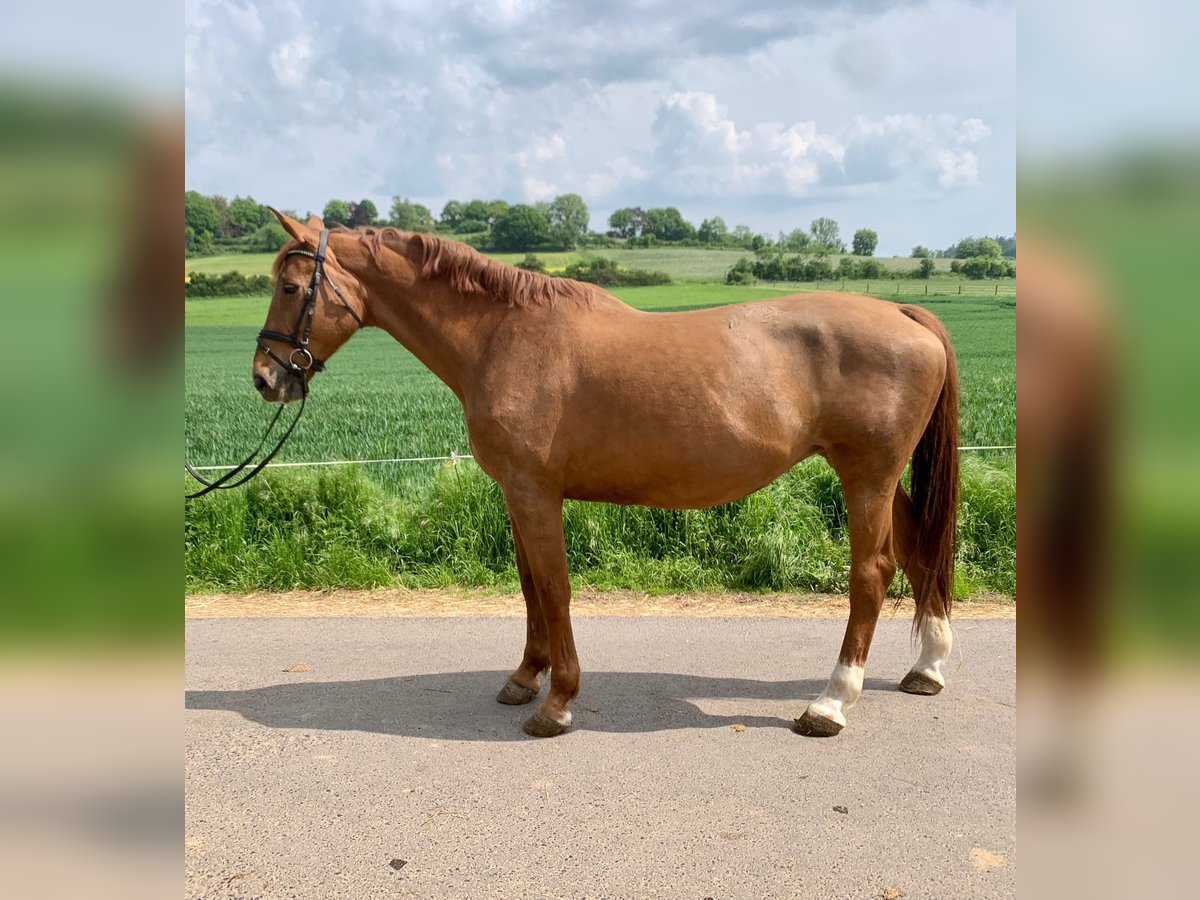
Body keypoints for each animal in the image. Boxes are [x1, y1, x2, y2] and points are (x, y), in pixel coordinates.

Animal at [258, 211, 960, 739]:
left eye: (290, 288)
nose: (267, 378)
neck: (503, 336)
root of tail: (904, 314)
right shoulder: (517, 493)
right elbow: (529, 588)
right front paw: (525, 678)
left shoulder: (535, 493)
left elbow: (555, 589)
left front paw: (557, 701)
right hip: (881, 479)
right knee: (917, 551)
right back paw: (927, 667)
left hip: (865, 477)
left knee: (872, 574)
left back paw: (831, 702)